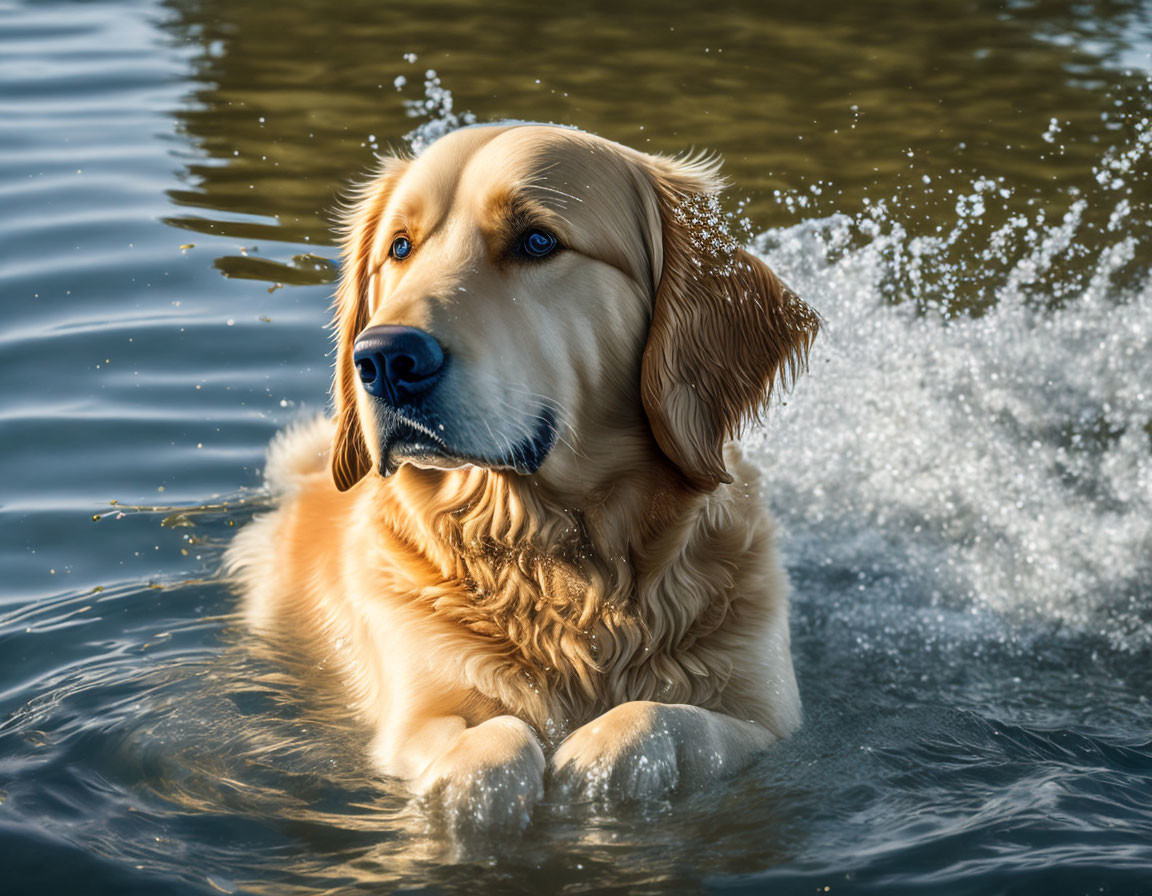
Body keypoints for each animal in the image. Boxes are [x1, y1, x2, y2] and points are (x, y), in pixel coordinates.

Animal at [224, 122, 820, 829]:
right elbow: (490, 741)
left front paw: (594, 758)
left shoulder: (766, 719)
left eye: (538, 241)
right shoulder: (417, 707)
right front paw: (481, 784)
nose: (385, 358)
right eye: (400, 247)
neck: (562, 566)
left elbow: (662, 720)